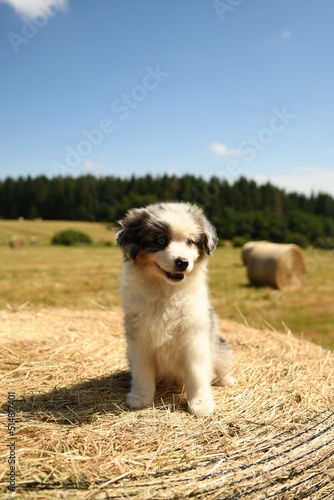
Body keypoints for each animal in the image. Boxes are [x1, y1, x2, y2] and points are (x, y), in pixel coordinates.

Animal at [116, 201, 234, 416]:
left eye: (190, 242)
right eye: (161, 241)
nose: (182, 263)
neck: (166, 291)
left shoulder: (194, 336)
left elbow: (196, 373)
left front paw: (201, 404)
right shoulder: (139, 337)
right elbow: (142, 371)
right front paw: (140, 398)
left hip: (220, 347)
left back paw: (226, 380)